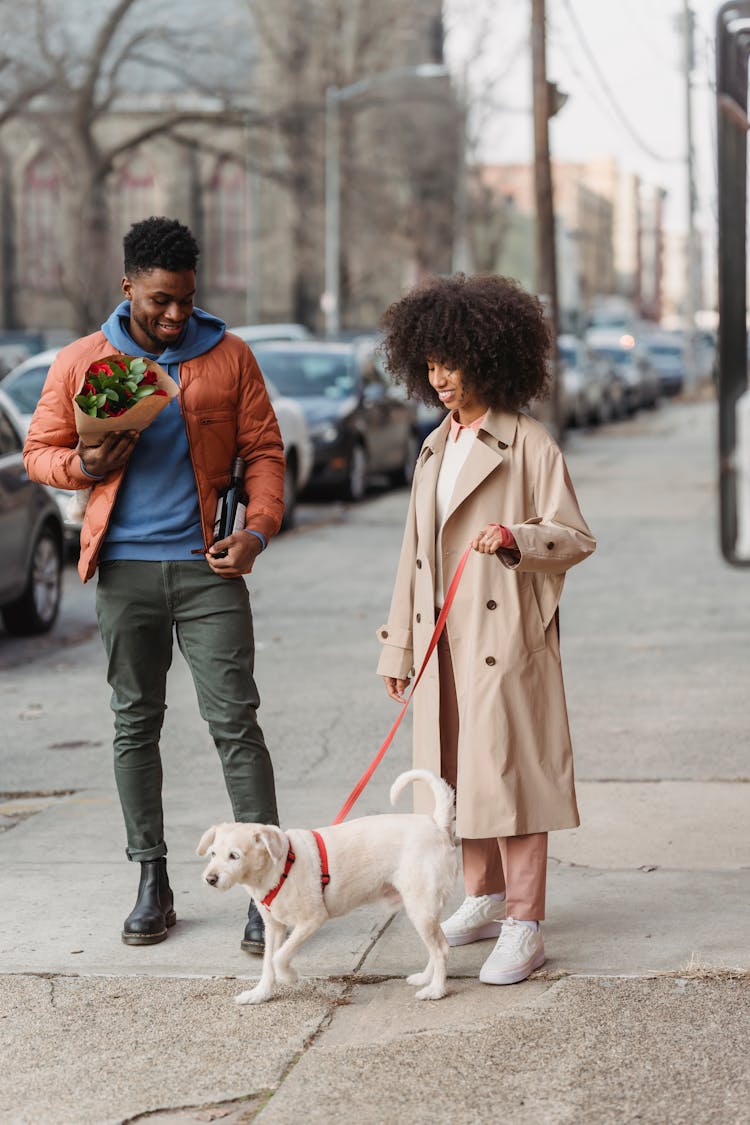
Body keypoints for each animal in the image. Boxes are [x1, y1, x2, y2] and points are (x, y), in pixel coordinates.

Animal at [196, 769, 458, 1008]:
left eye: (234, 856)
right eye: (213, 854)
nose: (210, 879)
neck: (280, 867)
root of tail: (436, 824)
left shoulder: (312, 920)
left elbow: (279, 957)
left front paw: (289, 976)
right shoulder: (274, 928)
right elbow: (268, 962)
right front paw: (260, 994)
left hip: (421, 907)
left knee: (442, 949)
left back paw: (436, 990)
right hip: (421, 910)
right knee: (438, 946)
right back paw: (425, 978)